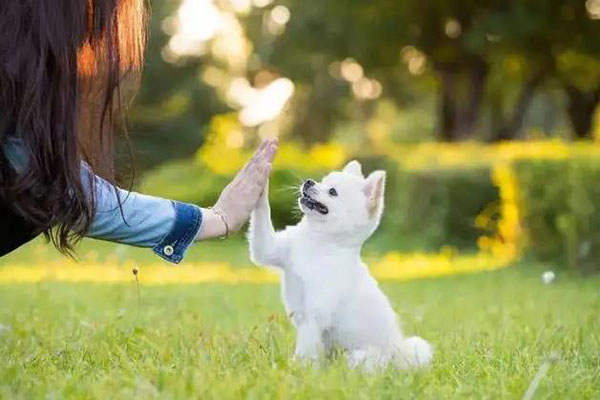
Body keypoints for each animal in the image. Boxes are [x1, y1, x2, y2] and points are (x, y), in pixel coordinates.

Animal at [247, 160, 432, 372]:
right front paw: (259, 181)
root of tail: (398, 353)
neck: (318, 243)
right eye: (322, 181)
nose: (309, 182)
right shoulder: (269, 249)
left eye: (332, 192)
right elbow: (263, 218)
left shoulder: (314, 316)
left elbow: (305, 349)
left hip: (360, 357)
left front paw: (297, 370)